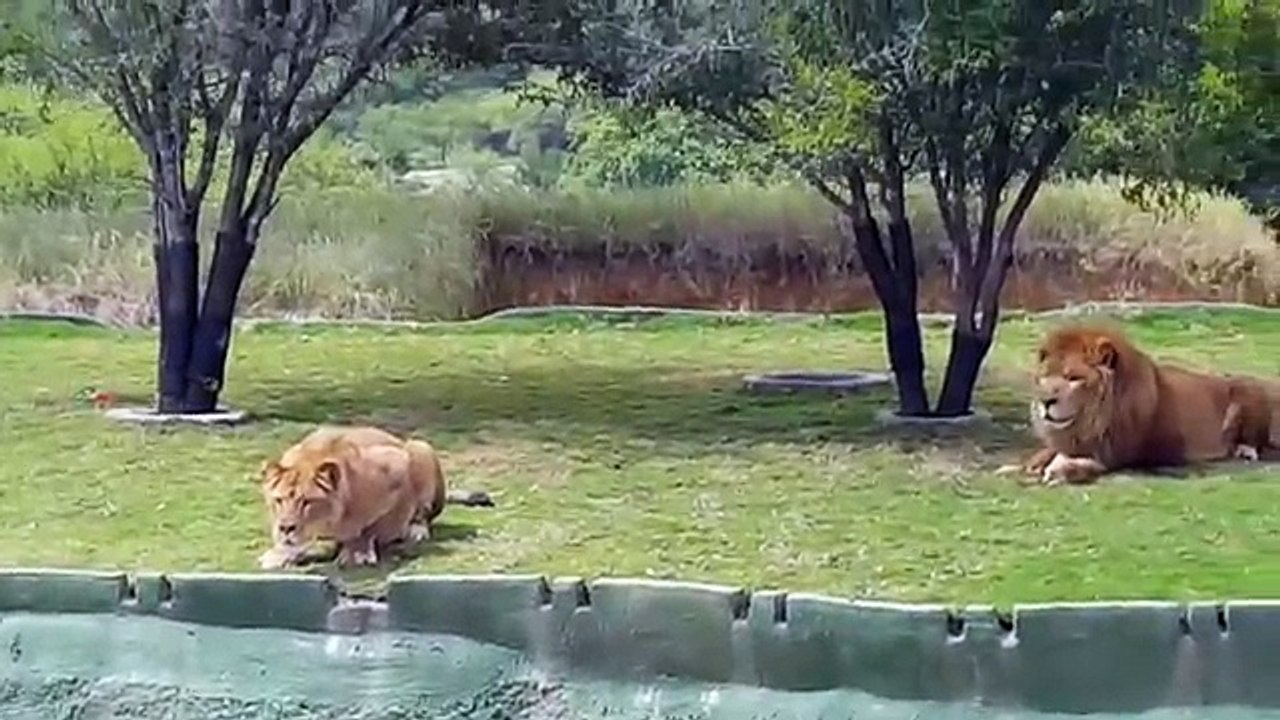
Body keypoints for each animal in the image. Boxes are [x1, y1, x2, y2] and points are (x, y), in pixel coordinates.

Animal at [257, 425, 492, 570]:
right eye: (278, 501)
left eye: (307, 502)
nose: (286, 528)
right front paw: (280, 552)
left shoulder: (397, 463)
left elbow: (373, 525)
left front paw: (357, 551)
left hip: (419, 447)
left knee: (424, 514)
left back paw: (416, 530)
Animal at [1002, 323, 1274, 486]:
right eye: (1046, 376)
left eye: (1073, 378)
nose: (1045, 401)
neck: (1087, 422)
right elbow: (1040, 455)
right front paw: (1016, 467)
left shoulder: (1117, 454)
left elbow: (1086, 464)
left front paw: (1059, 469)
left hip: (1247, 392)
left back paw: (1244, 450)